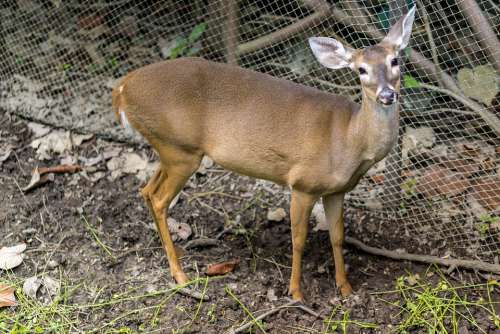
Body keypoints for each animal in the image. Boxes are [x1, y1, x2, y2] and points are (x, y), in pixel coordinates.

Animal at [113, 7, 418, 300]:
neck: (349, 139)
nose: (387, 95)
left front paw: (345, 288)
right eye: (361, 69)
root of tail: (123, 88)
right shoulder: (303, 183)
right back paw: (180, 274)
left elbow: (338, 237)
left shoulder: (336, 191)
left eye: (395, 61)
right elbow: (298, 239)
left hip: (170, 148)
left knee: (147, 190)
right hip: (180, 149)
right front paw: (296, 292)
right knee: (159, 199)